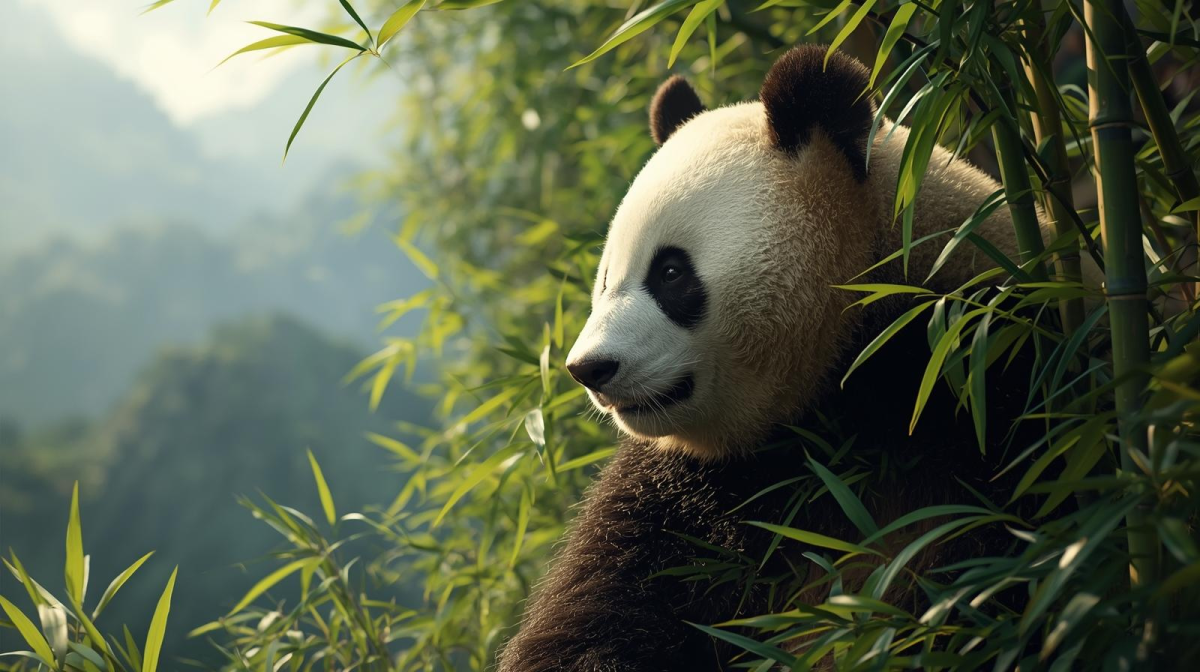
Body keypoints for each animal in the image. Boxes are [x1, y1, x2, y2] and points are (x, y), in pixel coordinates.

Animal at [497, 45, 1054, 671]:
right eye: (605, 279)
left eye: (671, 272)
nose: (589, 368)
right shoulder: (695, 491)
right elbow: (603, 613)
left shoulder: (991, 373)